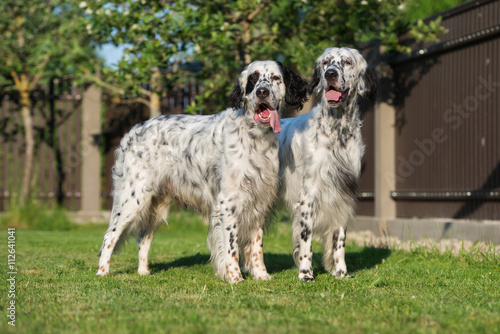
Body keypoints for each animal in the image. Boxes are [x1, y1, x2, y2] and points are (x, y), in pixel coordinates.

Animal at [95, 61, 306, 284]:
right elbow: (231, 247)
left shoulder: (260, 199)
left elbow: (256, 246)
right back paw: (102, 272)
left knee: (143, 237)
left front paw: (261, 275)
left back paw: (144, 271)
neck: (255, 135)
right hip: (132, 199)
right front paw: (235, 277)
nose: (262, 92)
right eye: (253, 79)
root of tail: (132, 132)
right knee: (109, 236)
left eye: (276, 78)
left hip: (157, 205)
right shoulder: (228, 202)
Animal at [276, 47, 376, 280]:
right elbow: (306, 240)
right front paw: (305, 273)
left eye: (347, 62)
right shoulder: (308, 196)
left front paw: (341, 272)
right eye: (326, 62)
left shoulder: (342, 193)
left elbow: (339, 240)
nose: (330, 74)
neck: (337, 132)